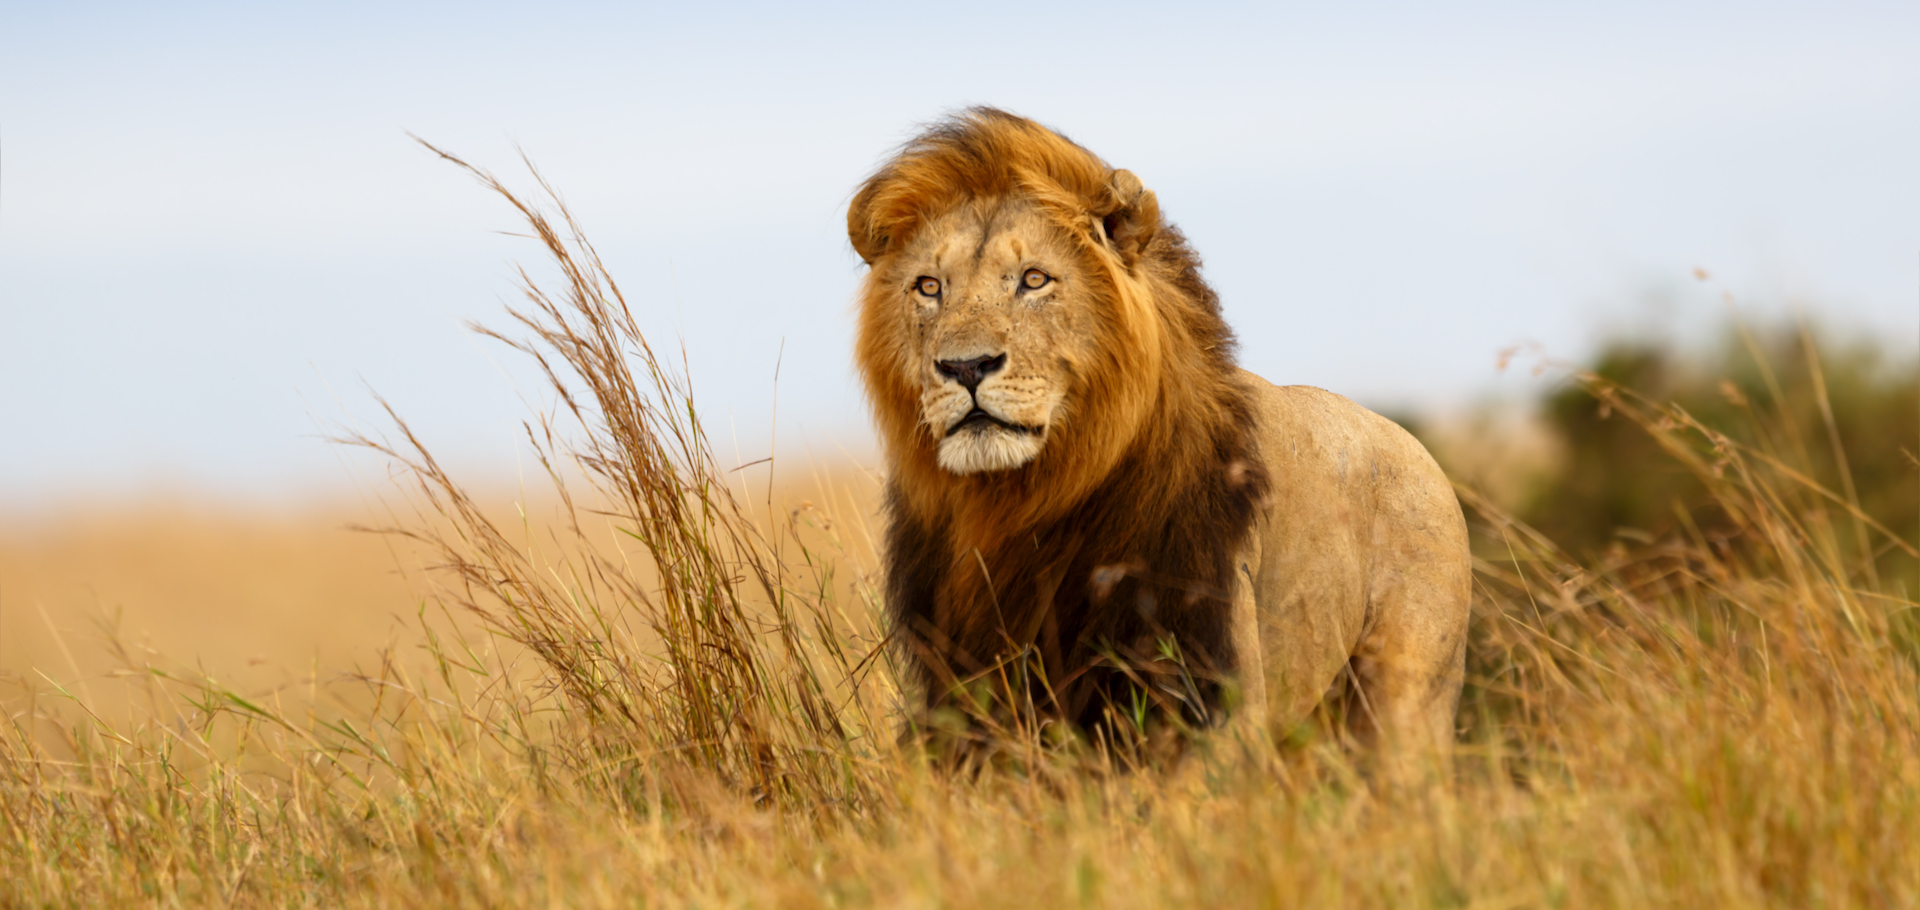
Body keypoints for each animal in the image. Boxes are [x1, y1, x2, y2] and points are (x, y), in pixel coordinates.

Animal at [848, 108, 1471, 765]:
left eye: (1034, 279)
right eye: (928, 287)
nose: (965, 367)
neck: (1022, 502)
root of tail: (1420, 452)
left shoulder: (1209, 681)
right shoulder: (963, 687)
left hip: (1407, 700)